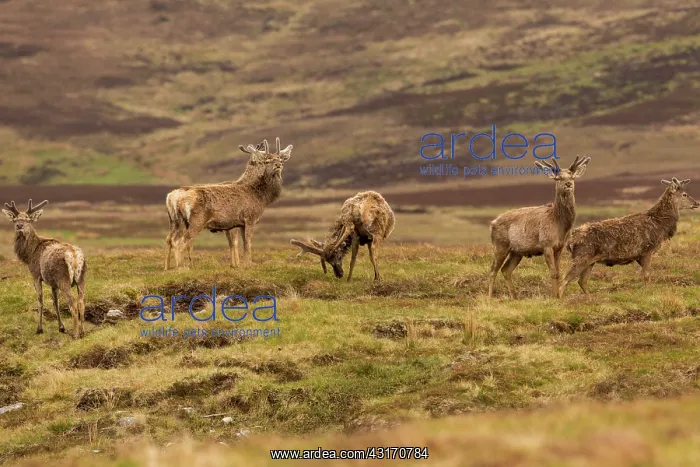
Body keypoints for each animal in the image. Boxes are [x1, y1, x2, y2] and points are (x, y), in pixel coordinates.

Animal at [2, 199, 87, 338]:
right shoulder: (53, 283)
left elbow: (40, 301)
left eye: (28, 219)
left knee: (73, 303)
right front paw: (61, 327)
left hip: (63, 279)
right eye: (15, 219)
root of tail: (74, 255)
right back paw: (83, 332)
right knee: (81, 302)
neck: (29, 254)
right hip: (81, 278)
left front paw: (39, 329)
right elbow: (55, 303)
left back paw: (75, 334)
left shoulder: (36, 275)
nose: (19, 225)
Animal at [164, 137, 292, 269]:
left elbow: (242, 243)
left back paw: (170, 267)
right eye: (267, 160)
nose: (278, 165)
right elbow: (247, 243)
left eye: (281, 159)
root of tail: (173, 197)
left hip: (175, 221)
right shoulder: (250, 218)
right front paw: (247, 265)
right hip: (197, 220)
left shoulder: (239, 224)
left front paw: (241, 264)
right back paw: (182, 267)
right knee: (182, 241)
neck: (261, 197)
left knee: (171, 239)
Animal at [487, 156, 591, 299]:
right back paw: (490, 296)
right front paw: (553, 296)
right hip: (500, 245)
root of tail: (492, 223)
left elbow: (558, 271)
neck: (560, 226)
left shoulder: (559, 247)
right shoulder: (546, 244)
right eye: (558, 178)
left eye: (572, 176)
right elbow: (553, 272)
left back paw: (514, 296)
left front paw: (557, 295)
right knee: (493, 270)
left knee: (506, 269)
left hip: (516, 252)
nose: (568, 184)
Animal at [559, 177, 699, 297]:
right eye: (684, 194)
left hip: (590, 261)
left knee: (582, 281)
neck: (660, 226)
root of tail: (570, 242)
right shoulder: (646, 250)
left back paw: (591, 298)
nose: (697, 203)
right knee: (564, 280)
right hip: (582, 256)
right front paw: (649, 292)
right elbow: (647, 276)